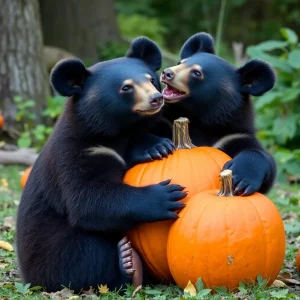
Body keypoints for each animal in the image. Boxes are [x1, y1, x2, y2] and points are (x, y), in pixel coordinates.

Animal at [16, 37, 186, 292]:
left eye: (150, 79)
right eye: (126, 87)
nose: (156, 98)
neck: (113, 131)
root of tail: (28, 276)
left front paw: (158, 147)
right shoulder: (76, 151)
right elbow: (88, 198)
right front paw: (166, 195)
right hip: (51, 251)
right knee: (83, 258)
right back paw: (127, 264)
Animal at [161, 32, 276, 196]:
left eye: (197, 73)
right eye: (180, 62)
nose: (167, 73)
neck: (201, 118)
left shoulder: (234, 135)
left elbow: (262, 157)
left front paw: (239, 177)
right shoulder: (166, 122)